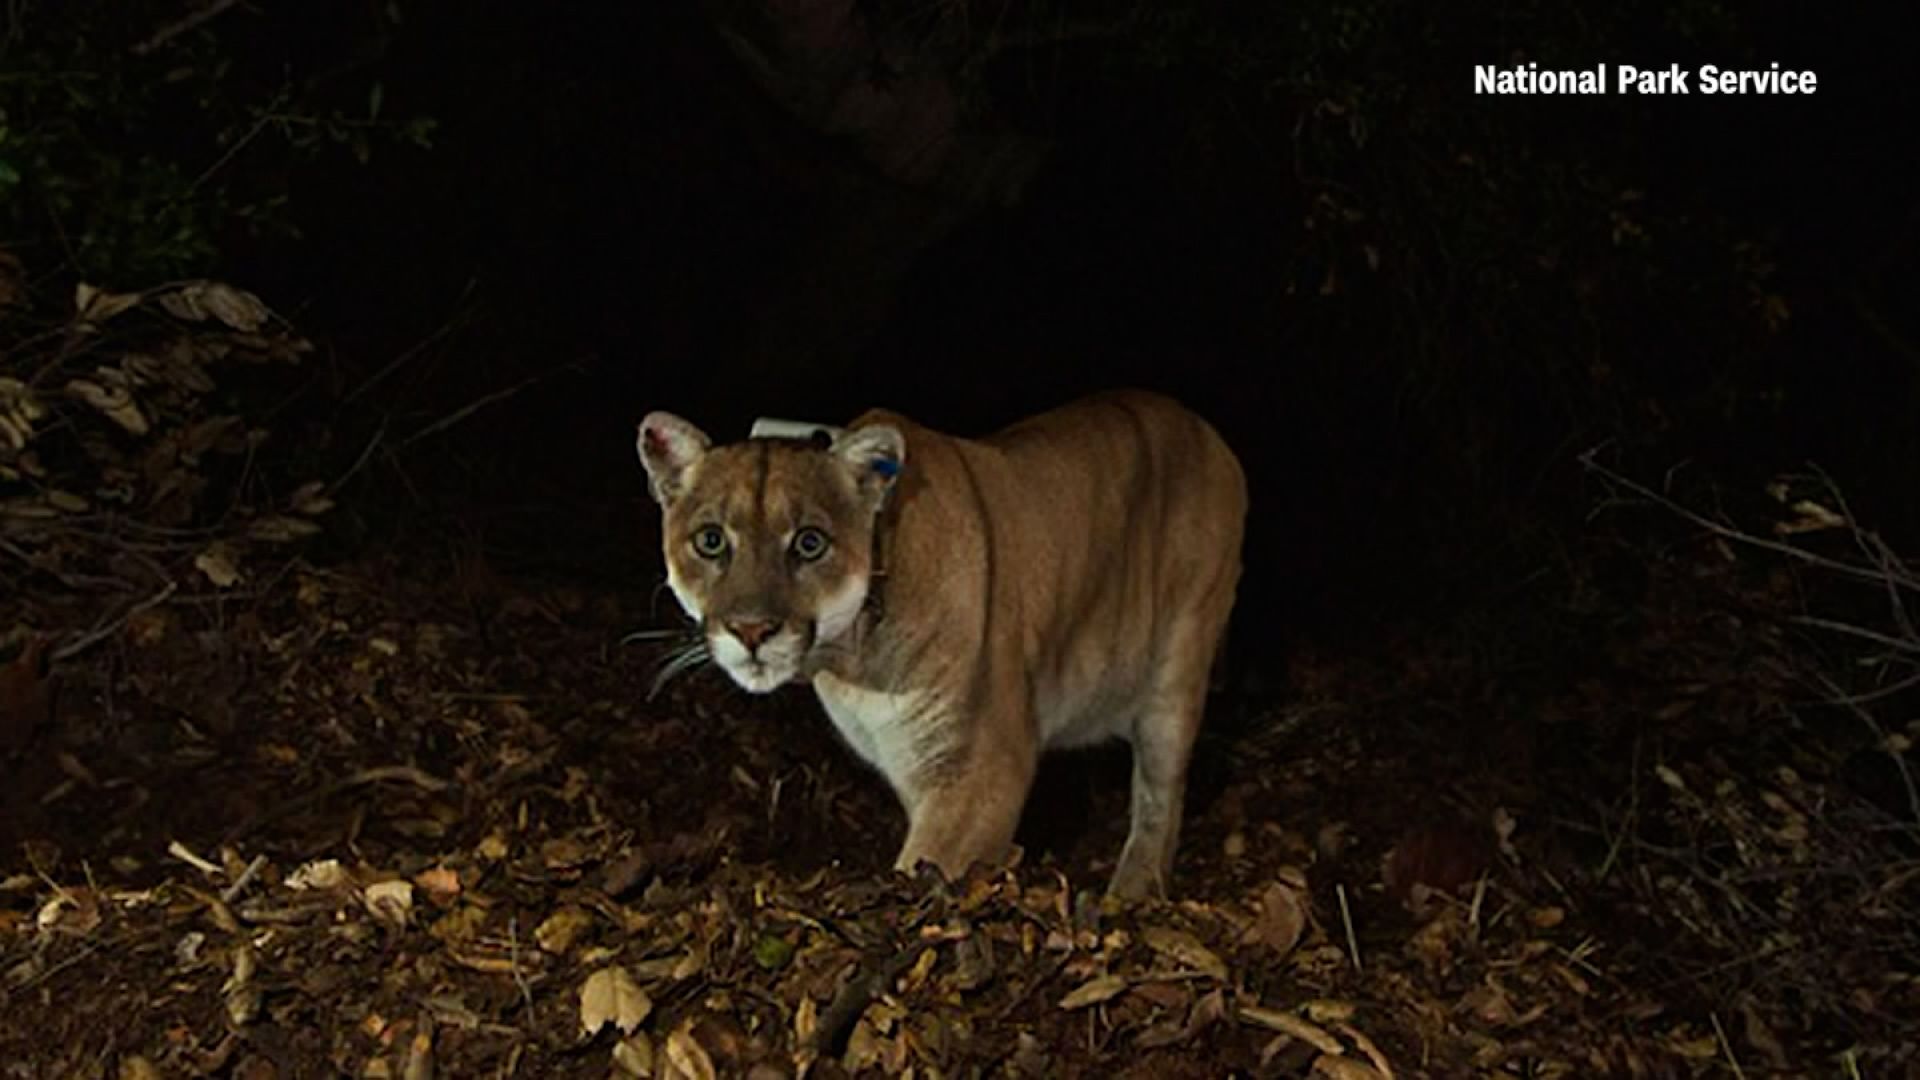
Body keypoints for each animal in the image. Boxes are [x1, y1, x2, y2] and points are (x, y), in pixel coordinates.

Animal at [637, 390, 1251, 895]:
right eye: (711, 541)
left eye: (810, 543)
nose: (752, 630)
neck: (850, 658)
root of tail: (1206, 428)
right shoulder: (914, 764)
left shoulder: (980, 770)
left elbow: (924, 869)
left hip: (1176, 669)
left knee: (1160, 797)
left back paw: (1131, 891)